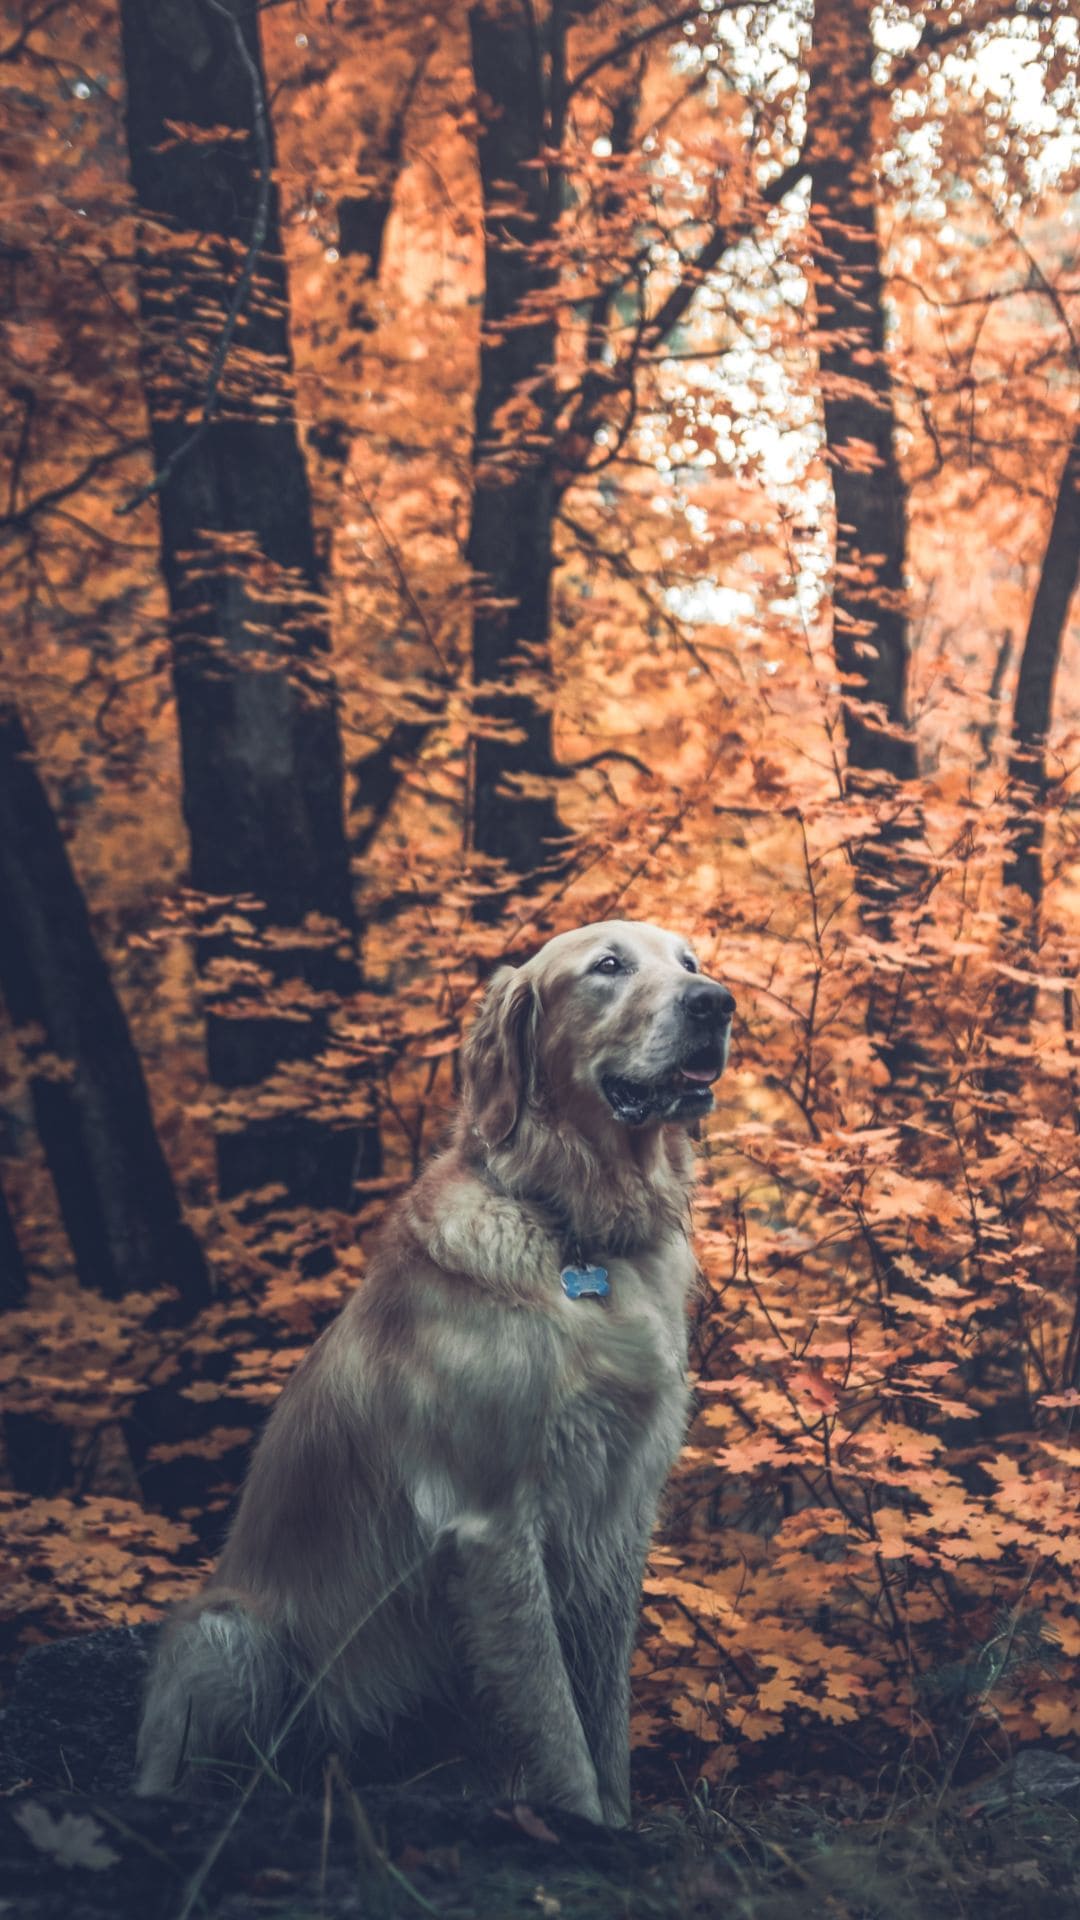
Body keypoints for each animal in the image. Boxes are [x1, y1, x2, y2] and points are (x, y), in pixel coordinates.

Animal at [136, 921, 730, 1820]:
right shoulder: (494, 1516)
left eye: (690, 963)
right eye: (609, 966)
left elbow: (605, 1714)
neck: (573, 1229)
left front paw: (618, 1823)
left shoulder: (619, 1511)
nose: (717, 1003)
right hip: (225, 1632)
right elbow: (552, 1712)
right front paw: (581, 1819)